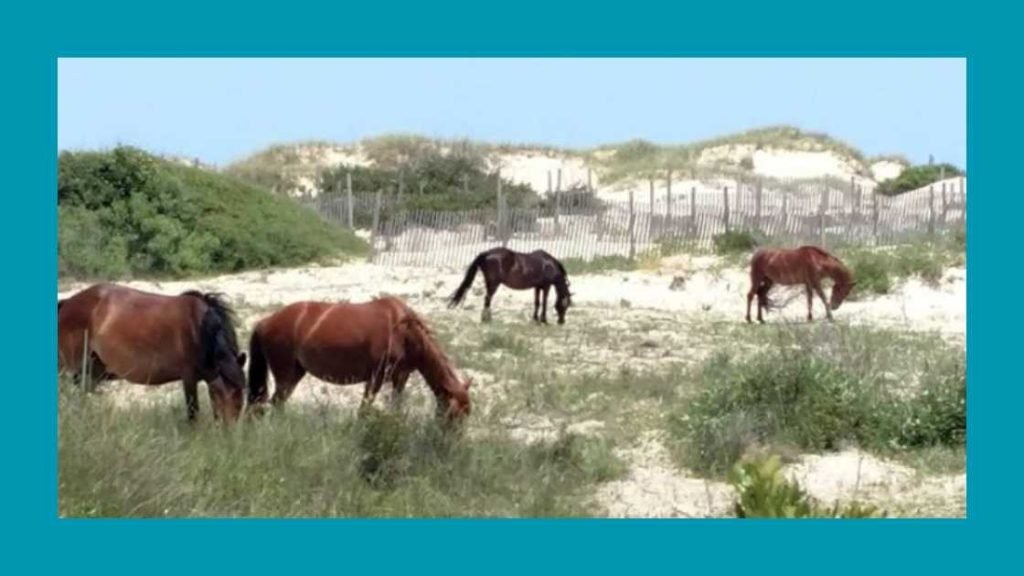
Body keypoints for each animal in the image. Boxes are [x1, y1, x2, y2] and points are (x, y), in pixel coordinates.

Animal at [57, 283, 248, 422]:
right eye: (222, 394)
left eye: (241, 395)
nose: (230, 432)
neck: (200, 328)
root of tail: (67, 303)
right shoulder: (189, 378)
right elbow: (192, 413)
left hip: (93, 370)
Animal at [246, 296, 472, 423]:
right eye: (452, 414)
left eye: (467, 413)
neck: (403, 331)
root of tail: (265, 321)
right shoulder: (375, 379)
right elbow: (364, 410)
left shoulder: (401, 377)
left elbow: (395, 407)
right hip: (285, 374)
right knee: (276, 402)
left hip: (296, 373)